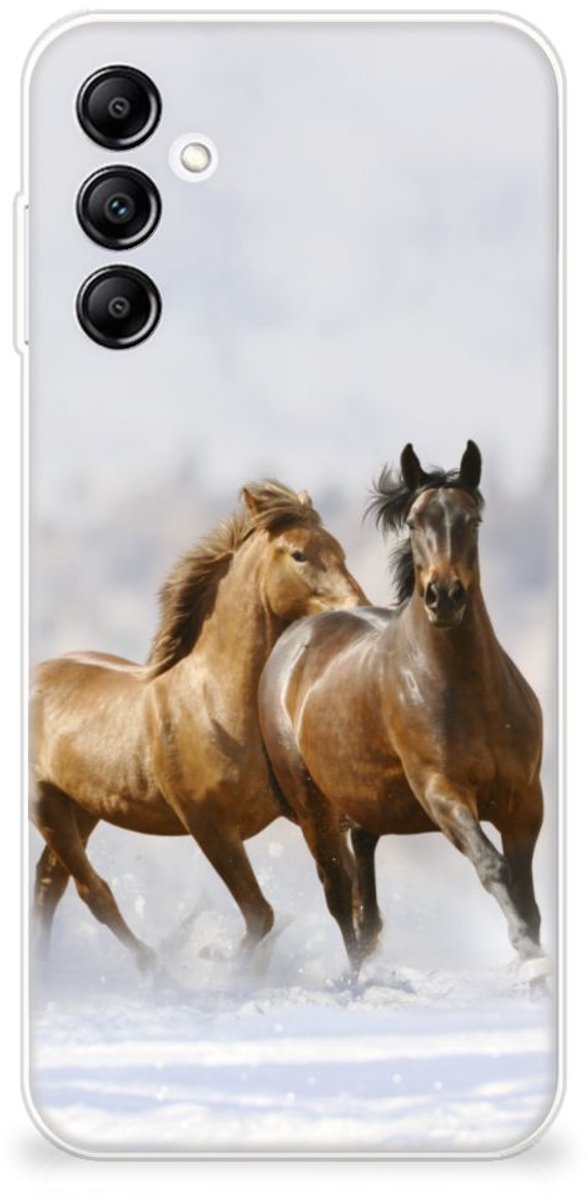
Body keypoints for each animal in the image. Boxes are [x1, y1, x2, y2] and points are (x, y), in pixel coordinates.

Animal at [31, 481, 367, 969]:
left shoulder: (309, 813)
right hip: (45, 804)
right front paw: (224, 966)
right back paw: (154, 968)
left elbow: (342, 893)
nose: (359, 608)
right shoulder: (209, 827)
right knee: (91, 891)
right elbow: (260, 915)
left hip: (82, 807)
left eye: (340, 550)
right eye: (299, 554)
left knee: (48, 883)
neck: (216, 705)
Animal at [258, 443, 544, 975]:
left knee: (364, 899)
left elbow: (526, 894)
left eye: (472, 519)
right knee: (339, 896)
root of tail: (292, 641)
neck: (468, 692)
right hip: (313, 810)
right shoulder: (442, 793)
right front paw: (527, 954)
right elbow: (493, 867)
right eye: (413, 522)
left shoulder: (525, 801)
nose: (444, 596)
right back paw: (356, 978)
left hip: (364, 806)